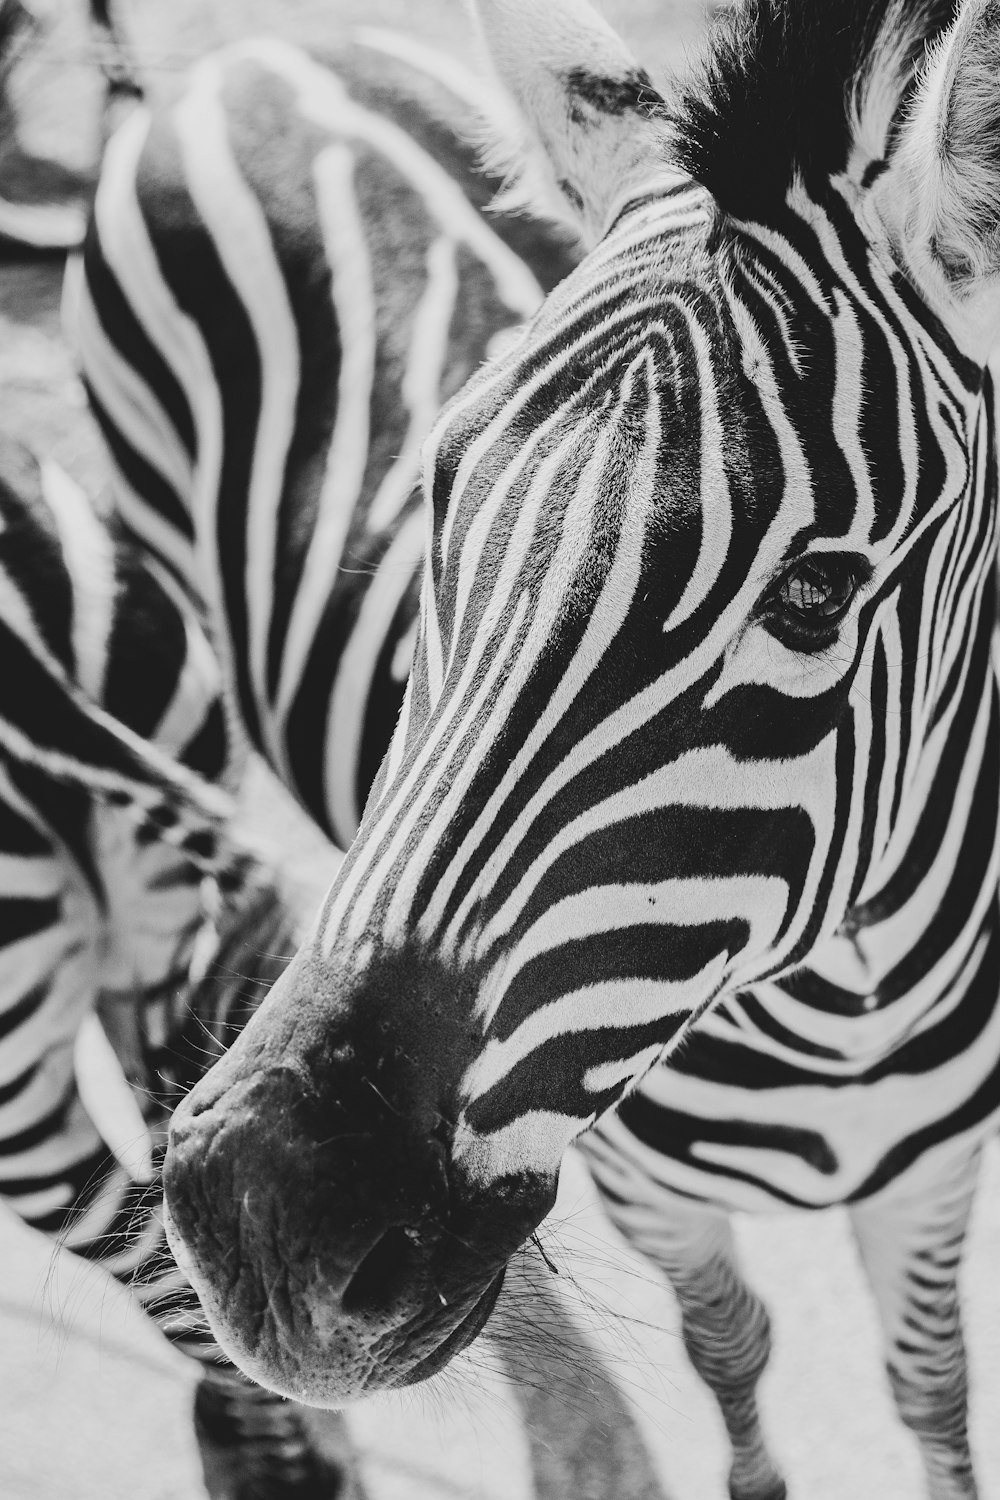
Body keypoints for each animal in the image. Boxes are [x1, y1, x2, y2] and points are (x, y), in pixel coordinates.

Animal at [146, 2, 1000, 1500]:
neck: (841, 1017)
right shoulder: (652, 1192)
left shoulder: (936, 1174)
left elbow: (930, 1383)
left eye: (817, 595)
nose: (266, 1216)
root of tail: (256, 60)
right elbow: (732, 1346)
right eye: (436, 503)